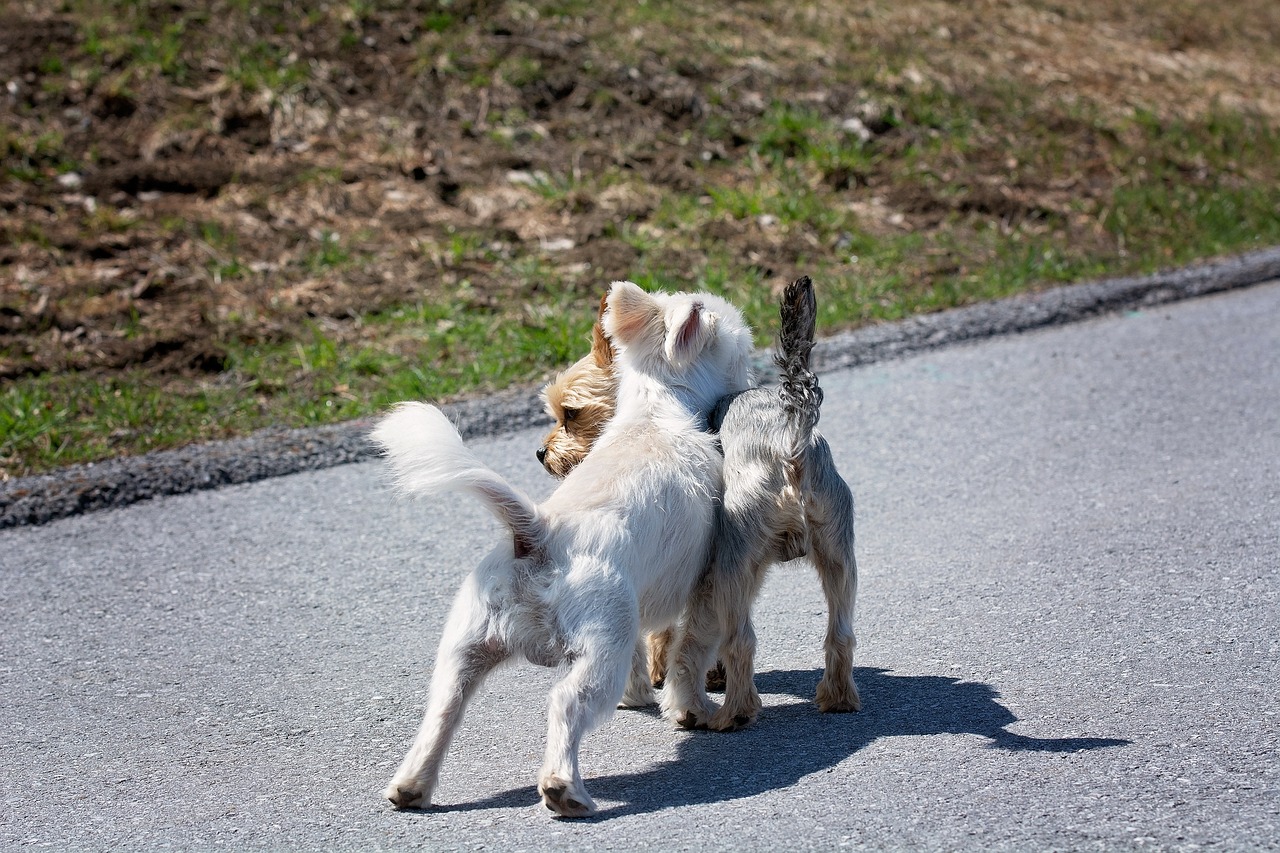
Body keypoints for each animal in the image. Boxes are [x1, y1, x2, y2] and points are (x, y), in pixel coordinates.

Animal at [371, 280, 747, 819]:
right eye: (741, 344)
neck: (656, 413)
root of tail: (539, 532)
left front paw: (640, 696)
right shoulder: (703, 585)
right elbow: (687, 655)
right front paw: (691, 709)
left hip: (466, 649)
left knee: (442, 711)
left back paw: (411, 786)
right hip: (599, 651)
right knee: (567, 704)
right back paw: (563, 788)